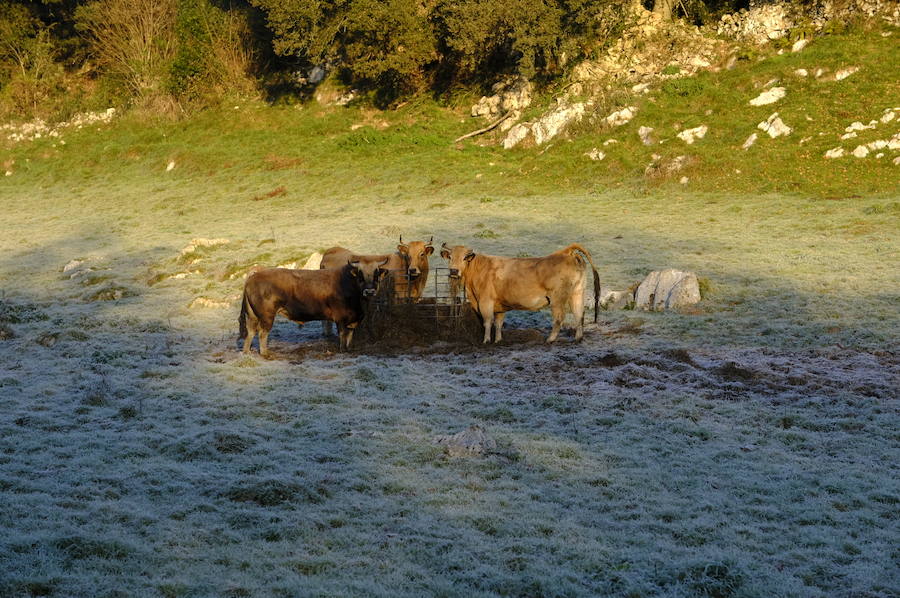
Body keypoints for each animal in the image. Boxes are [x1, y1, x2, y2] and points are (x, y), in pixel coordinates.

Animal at [237, 258, 384, 356]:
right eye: (360, 274)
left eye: (376, 274)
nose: (369, 291)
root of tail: (254, 275)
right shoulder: (341, 319)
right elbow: (343, 336)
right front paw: (343, 350)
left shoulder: (352, 320)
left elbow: (350, 336)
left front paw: (349, 349)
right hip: (267, 316)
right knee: (262, 333)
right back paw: (265, 353)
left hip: (252, 316)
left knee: (250, 332)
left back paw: (246, 352)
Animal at [442, 244, 600, 344]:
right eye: (450, 257)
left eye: (464, 258)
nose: (454, 271)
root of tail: (566, 253)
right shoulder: (499, 306)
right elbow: (498, 323)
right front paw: (498, 340)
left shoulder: (486, 301)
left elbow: (487, 322)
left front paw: (486, 341)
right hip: (577, 293)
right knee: (579, 314)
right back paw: (578, 338)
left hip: (557, 300)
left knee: (559, 318)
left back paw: (550, 339)